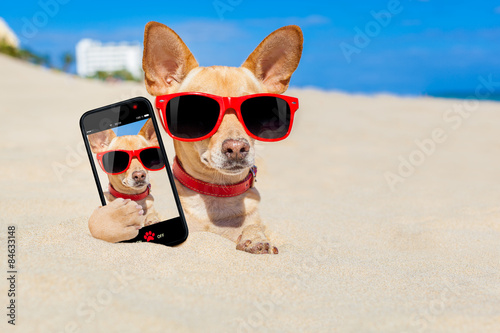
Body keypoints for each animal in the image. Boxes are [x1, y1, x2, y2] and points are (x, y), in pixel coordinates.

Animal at [88, 22, 302, 253]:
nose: (237, 147)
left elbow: (255, 226)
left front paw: (255, 238)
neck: (215, 191)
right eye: (195, 112)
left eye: (257, 111)